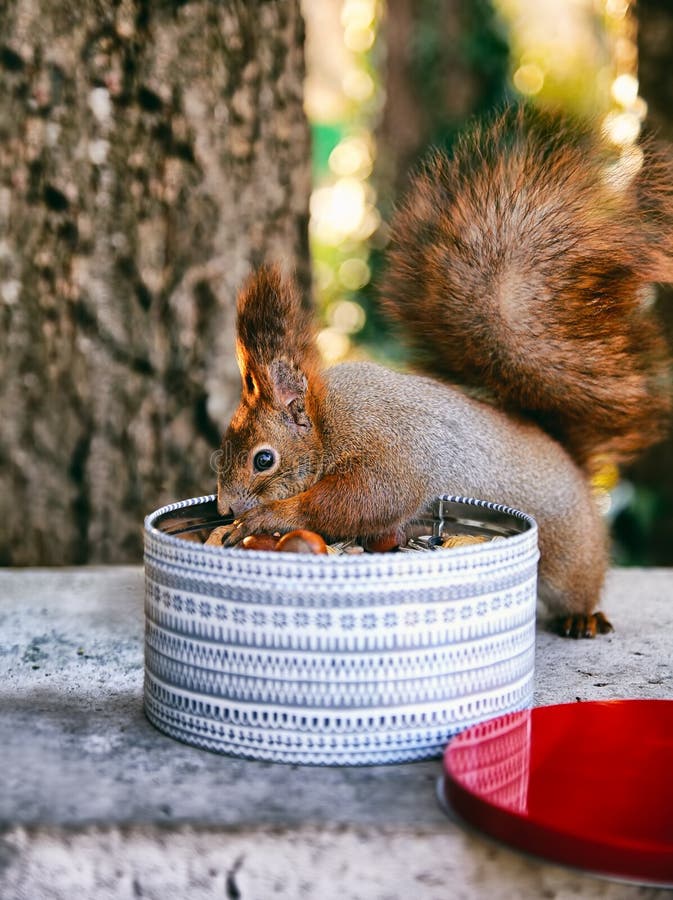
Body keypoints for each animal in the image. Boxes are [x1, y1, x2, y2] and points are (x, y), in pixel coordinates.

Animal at [215, 106, 673, 638]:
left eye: (263, 460)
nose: (225, 508)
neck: (327, 424)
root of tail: (573, 464)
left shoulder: (387, 448)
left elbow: (365, 500)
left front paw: (269, 515)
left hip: (569, 554)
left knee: (581, 583)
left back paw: (583, 615)